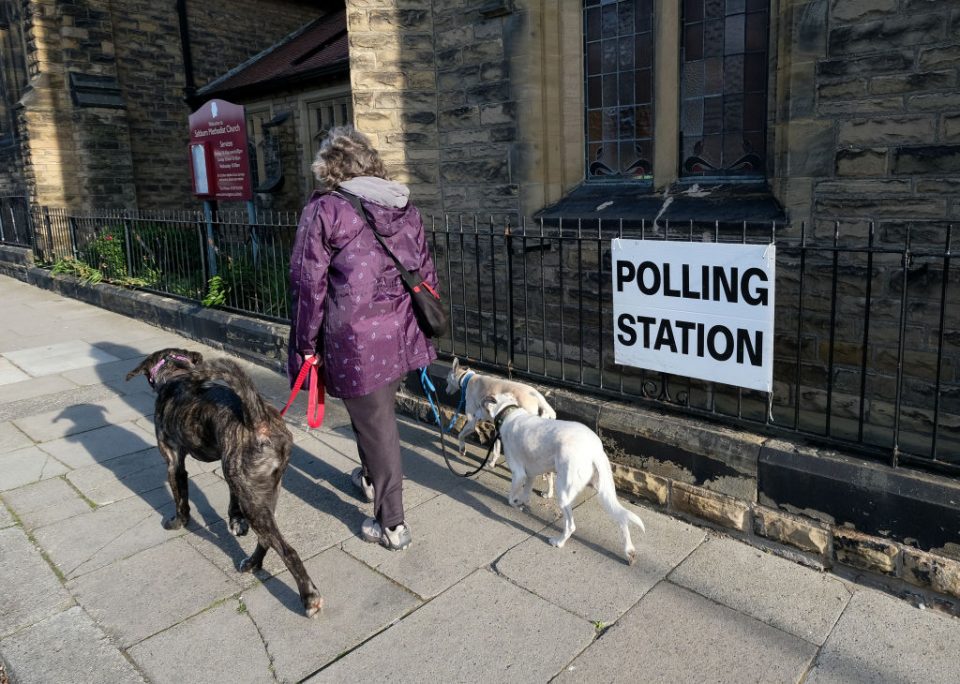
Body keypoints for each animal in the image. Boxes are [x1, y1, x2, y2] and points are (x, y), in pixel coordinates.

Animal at [125, 350, 322, 616]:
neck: (176, 374)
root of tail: (257, 417)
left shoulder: (174, 462)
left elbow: (181, 499)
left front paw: (177, 522)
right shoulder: (232, 471)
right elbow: (231, 499)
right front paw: (236, 522)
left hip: (252, 495)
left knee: (287, 550)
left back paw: (309, 597)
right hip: (263, 491)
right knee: (266, 538)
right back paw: (252, 563)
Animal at [444, 358, 556, 496]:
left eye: (446, 380)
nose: (446, 391)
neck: (468, 379)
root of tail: (540, 400)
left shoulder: (471, 420)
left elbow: (461, 434)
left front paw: (462, 449)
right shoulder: (497, 426)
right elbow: (496, 447)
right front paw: (492, 463)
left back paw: (547, 492)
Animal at [480, 392, 644, 564]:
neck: (509, 412)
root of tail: (594, 450)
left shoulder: (519, 474)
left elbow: (511, 497)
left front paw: (516, 504)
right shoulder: (530, 474)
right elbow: (526, 492)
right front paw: (524, 503)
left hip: (564, 493)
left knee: (571, 526)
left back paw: (558, 542)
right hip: (604, 491)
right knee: (621, 519)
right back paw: (629, 551)